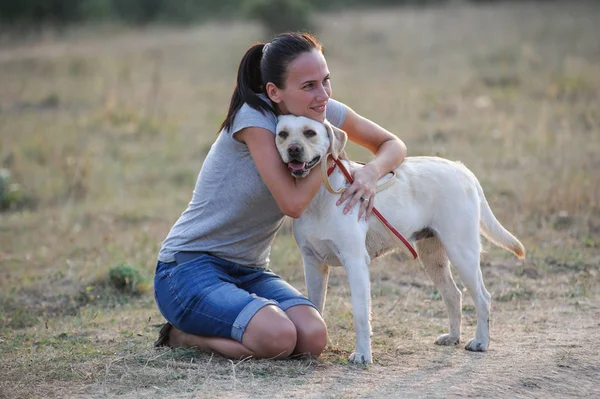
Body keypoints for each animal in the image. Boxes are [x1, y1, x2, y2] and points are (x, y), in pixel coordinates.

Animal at [276, 114, 524, 364]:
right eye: (283, 134)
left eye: (310, 133)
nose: (294, 149)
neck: (319, 196)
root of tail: (462, 169)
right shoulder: (313, 263)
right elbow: (316, 307)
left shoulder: (355, 262)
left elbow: (360, 315)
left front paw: (363, 354)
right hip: (433, 258)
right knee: (454, 295)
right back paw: (453, 336)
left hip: (462, 253)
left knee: (483, 297)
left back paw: (481, 341)